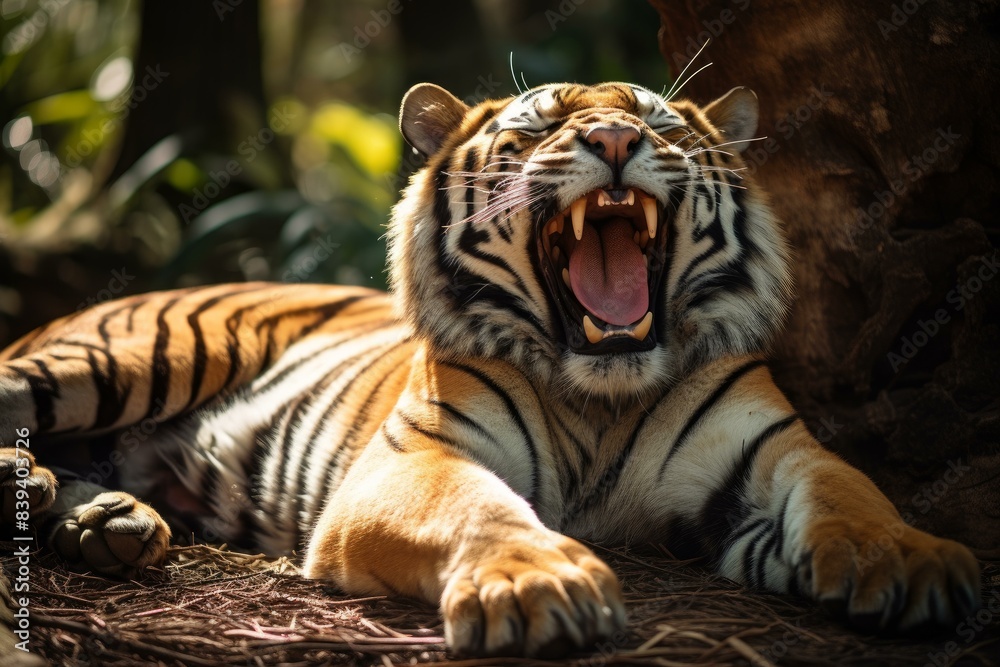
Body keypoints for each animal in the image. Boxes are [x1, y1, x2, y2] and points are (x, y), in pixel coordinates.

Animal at [0, 81, 981, 658]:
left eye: (659, 119)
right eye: (542, 121)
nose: (617, 137)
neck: (599, 392)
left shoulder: (775, 449)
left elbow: (852, 492)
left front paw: (907, 563)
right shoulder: (414, 459)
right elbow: (480, 507)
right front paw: (540, 581)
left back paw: (109, 522)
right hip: (137, 354)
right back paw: (37, 481)